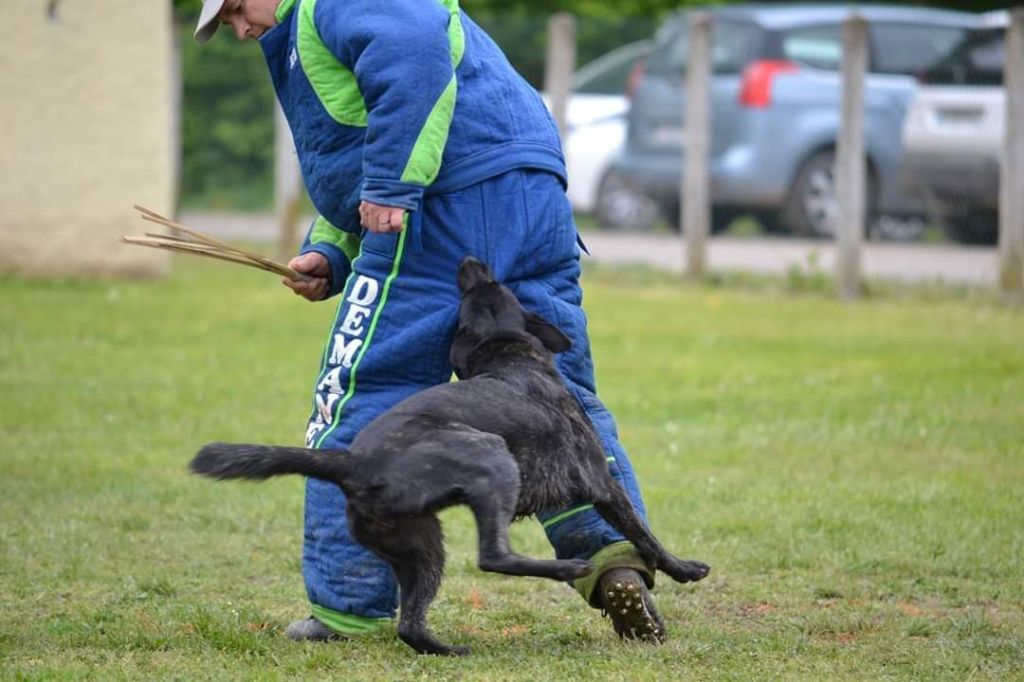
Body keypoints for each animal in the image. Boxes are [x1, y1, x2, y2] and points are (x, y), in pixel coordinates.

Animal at [190, 254, 704, 655]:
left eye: (482, 289)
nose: (471, 260)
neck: (507, 355)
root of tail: (352, 463)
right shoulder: (601, 481)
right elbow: (644, 536)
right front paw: (683, 568)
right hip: (489, 457)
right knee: (492, 557)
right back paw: (568, 568)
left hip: (419, 547)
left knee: (410, 625)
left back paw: (448, 650)